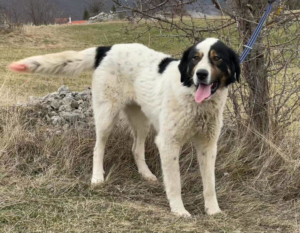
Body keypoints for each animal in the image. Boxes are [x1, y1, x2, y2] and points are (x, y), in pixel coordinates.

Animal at [8, 37, 240, 217]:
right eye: (195, 58)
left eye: (217, 58)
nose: (200, 74)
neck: (194, 99)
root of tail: (107, 48)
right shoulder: (168, 143)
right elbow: (175, 183)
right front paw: (179, 210)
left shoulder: (208, 145)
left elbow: (210, 184)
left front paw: (213, 210)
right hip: (106, 115)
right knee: (98, 148)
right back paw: (97, 178)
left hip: (142, 120)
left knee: (136, 148)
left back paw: (146, 174)